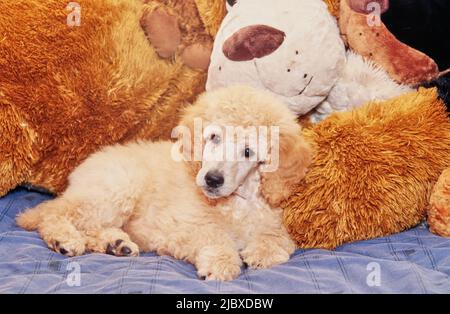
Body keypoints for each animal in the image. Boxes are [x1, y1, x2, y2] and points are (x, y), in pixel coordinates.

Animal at [17, 84, 312, 280]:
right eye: (214, 137)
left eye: (248, 151)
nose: (212, 179)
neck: (235, 202)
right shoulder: (184, 228)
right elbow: (213, 236)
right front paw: (222, 262)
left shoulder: (272, 218)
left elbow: (278, 237)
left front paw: (263, 251)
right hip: (114, 193)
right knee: (54, 214)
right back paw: (64, 238)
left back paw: (116, 244)